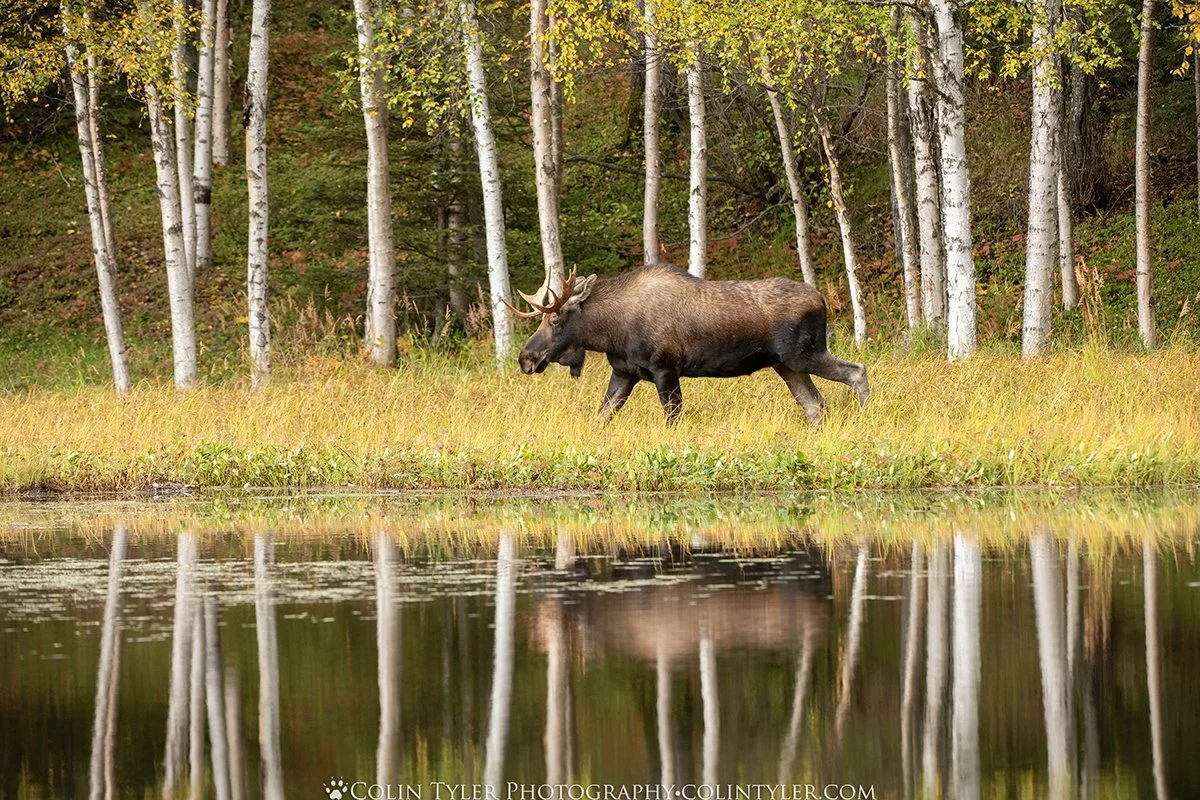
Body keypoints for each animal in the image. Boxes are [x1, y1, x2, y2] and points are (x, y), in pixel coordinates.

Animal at [507, 263, 870, 424]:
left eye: (554, 320)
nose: (526, 357)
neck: (610, 331)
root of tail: (821, 299)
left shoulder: (665, 368)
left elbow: (673, 417)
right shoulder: (625, 372)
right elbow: (602, 415)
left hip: (804, 354)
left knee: (856, 371)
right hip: (787, 366)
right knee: (815, 404)